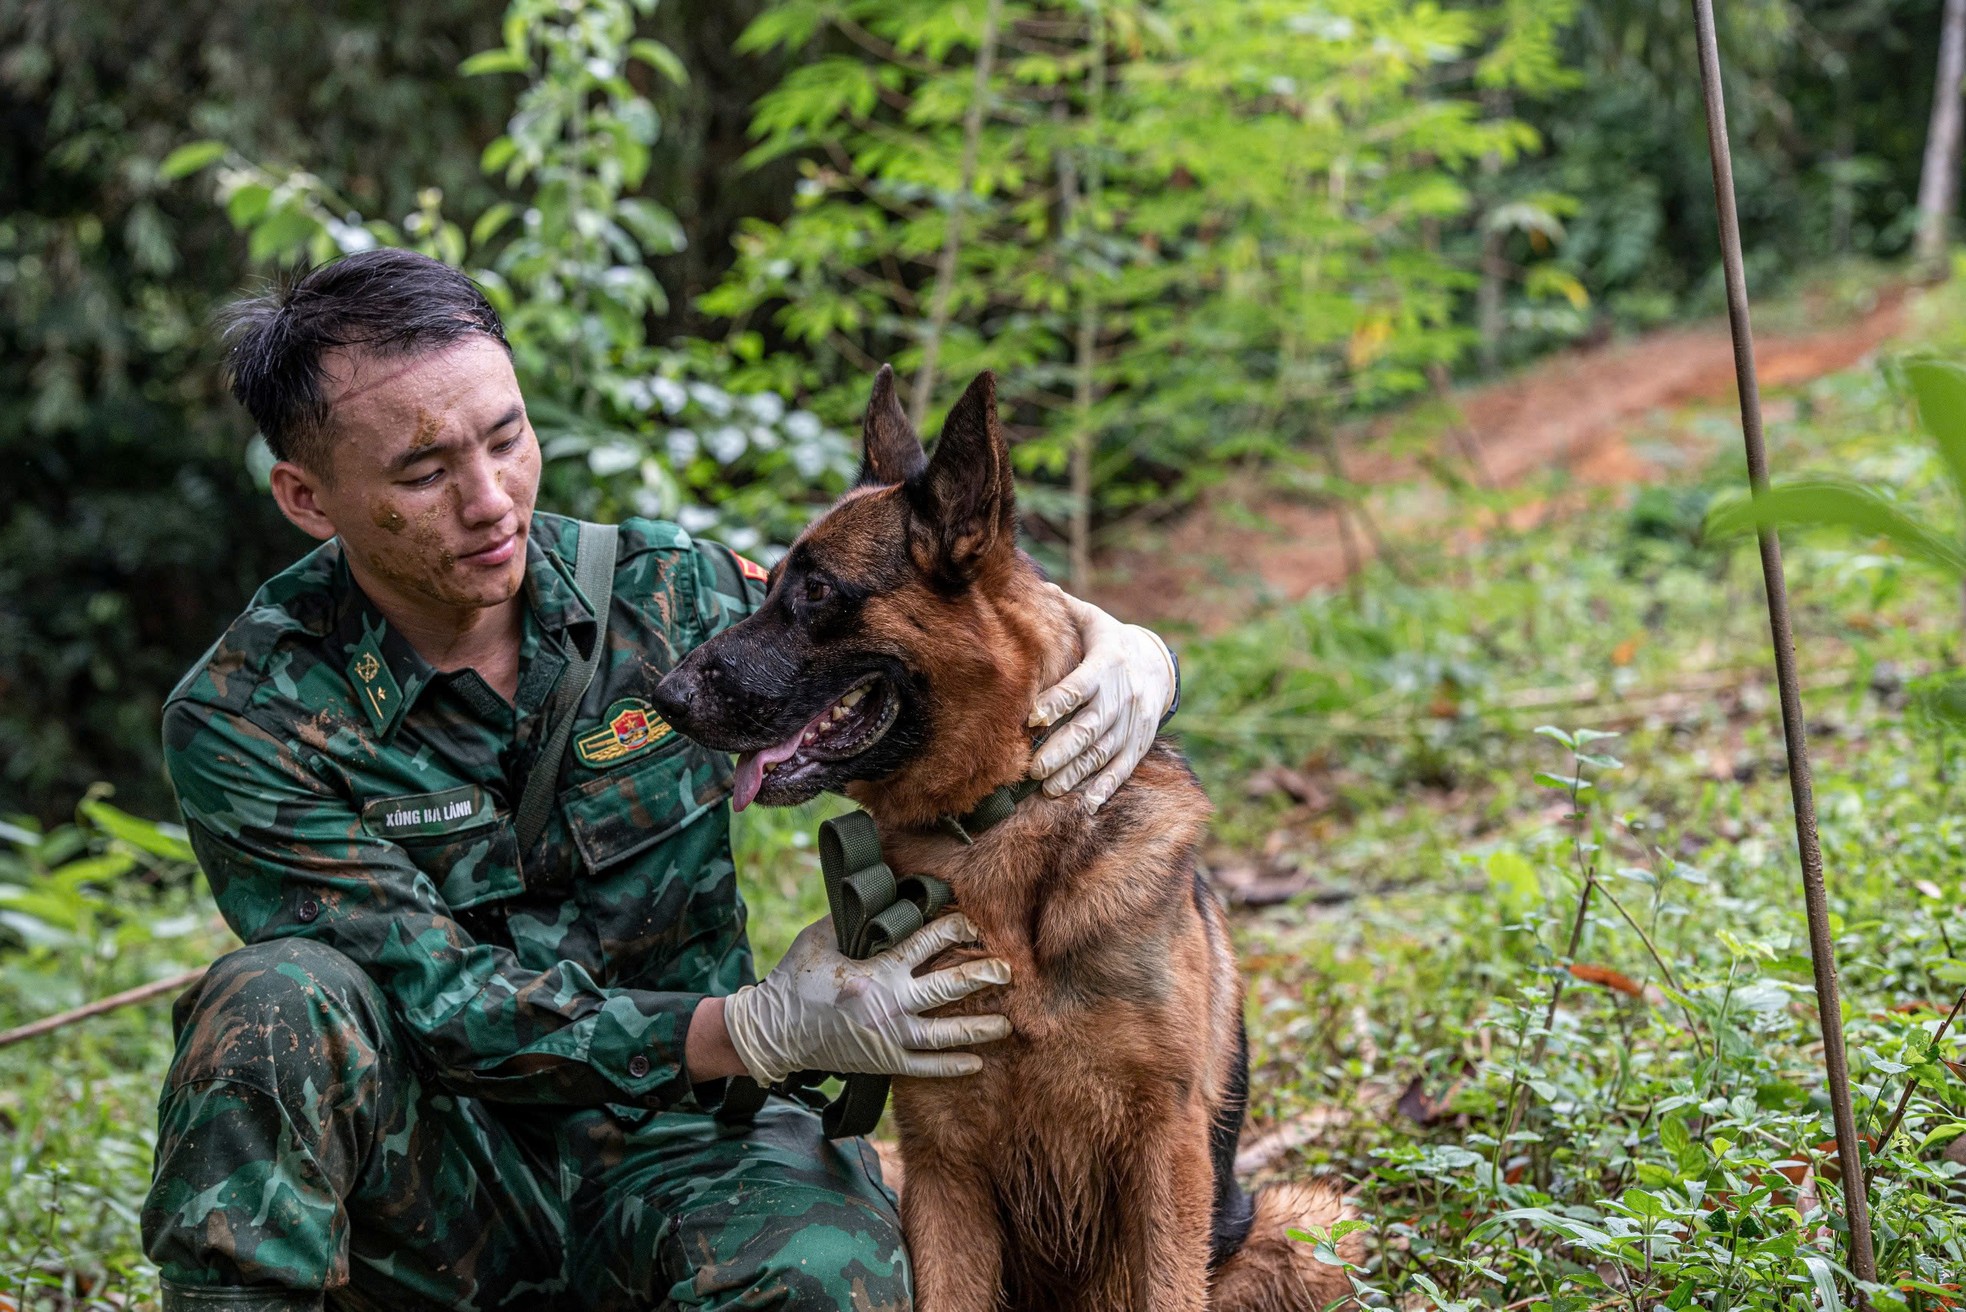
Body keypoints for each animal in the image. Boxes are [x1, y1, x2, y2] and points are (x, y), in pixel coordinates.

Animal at [652, 363, 1360, 1306]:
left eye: (817, 592)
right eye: (764, 587)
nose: (665, 696)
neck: (992, 817)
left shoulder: (1165, 1155)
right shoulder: (941, 1163)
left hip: (1312, 1225)